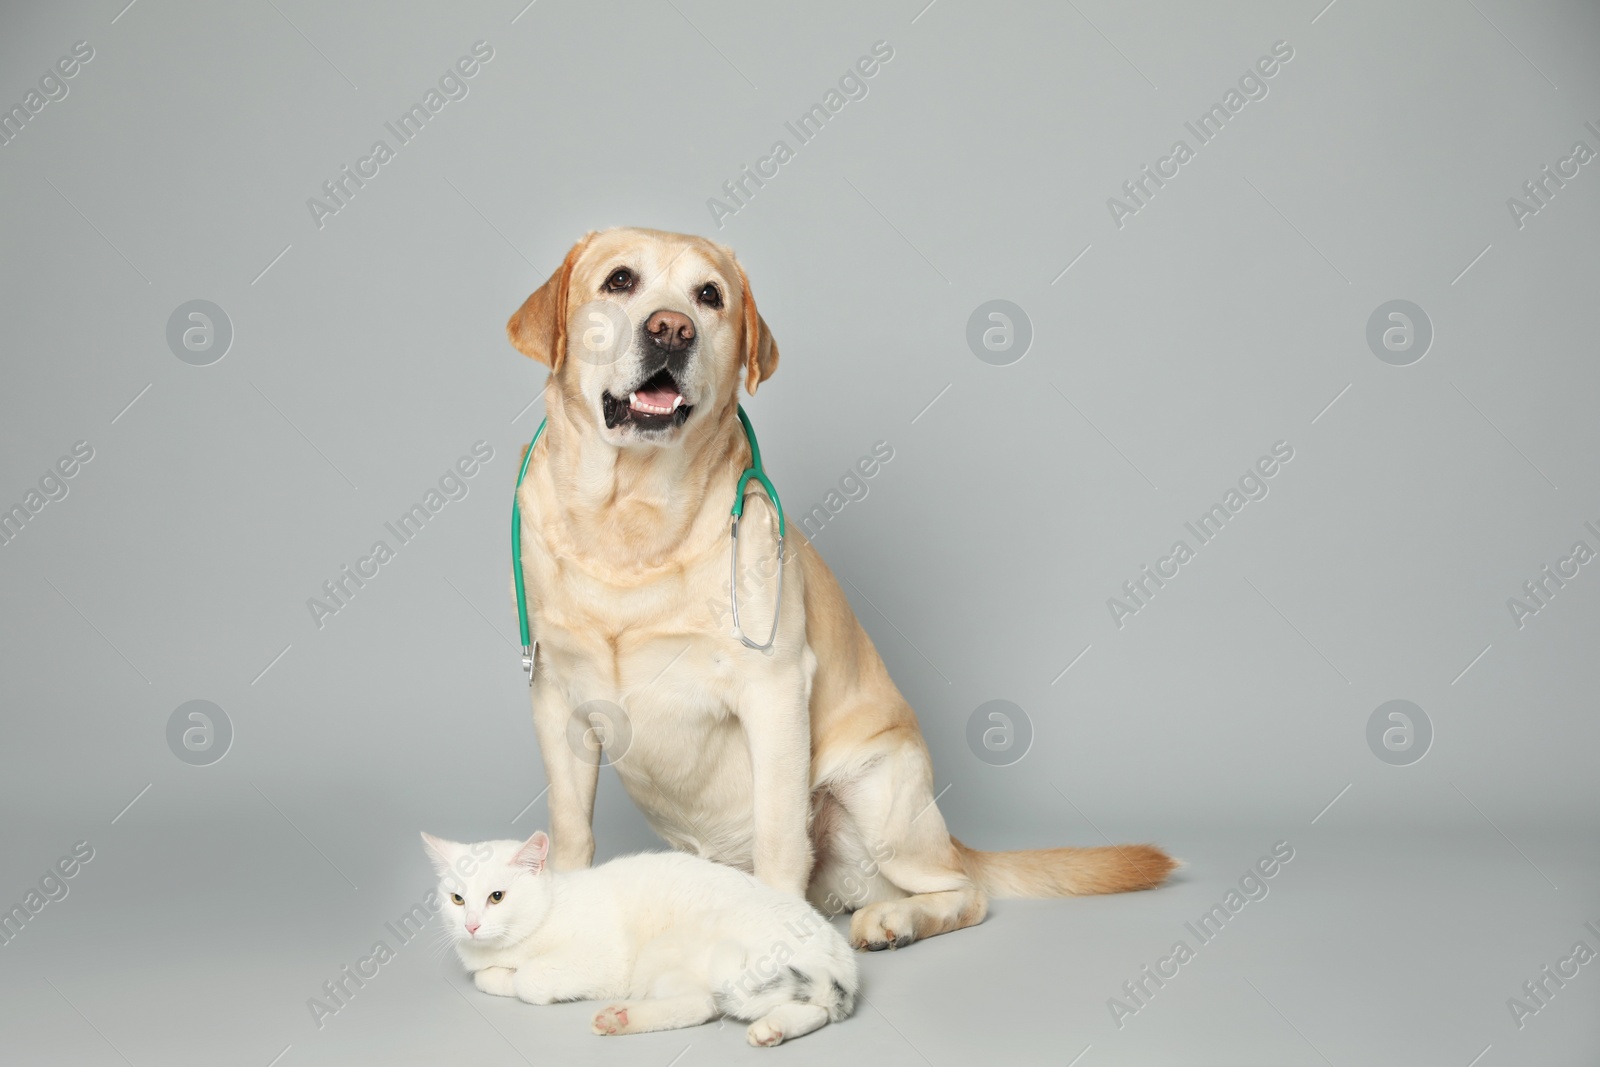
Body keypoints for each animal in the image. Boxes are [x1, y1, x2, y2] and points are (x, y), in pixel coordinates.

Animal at [419, 831, 857, 1049]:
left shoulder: (604, 959)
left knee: (709, 1005)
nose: (471, 926)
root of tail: (839, 953)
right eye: (457, 899)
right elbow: (486, 976)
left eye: (497, 897)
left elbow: (528, 979)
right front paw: (498, 973)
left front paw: (513, 977)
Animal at [505, 227, 1171, 953]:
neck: (631, 522)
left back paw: (894, 920)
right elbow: (571, 831)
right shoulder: (556, 704)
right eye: (620, 280)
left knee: (962, 891)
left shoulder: (771, 691)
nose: (673, 329)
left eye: (709, 296)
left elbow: (778, 834)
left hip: (877, 793)